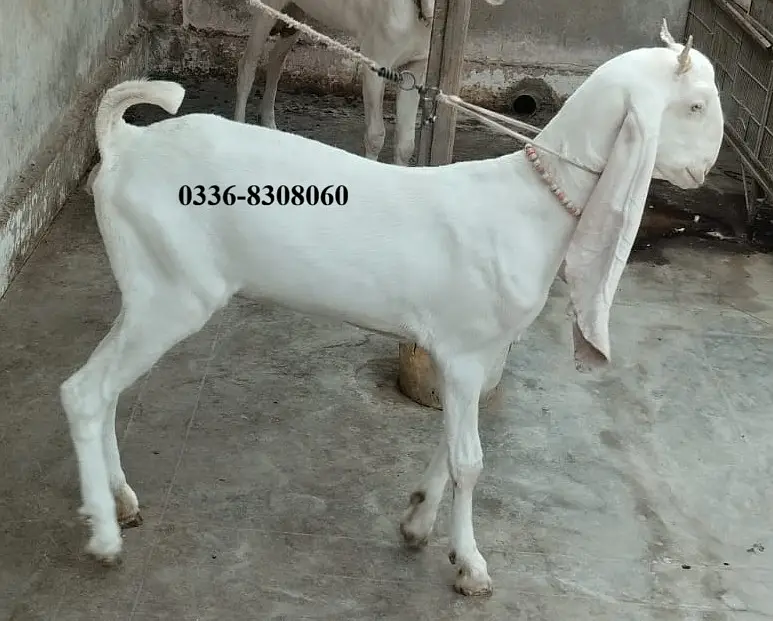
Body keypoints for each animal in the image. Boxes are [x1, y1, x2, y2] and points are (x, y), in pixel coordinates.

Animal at [61, 21, 723, 596]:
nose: (704, 170)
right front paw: (471, 566)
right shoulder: (463, 352)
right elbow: (470, 461)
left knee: (106, 387)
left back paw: (123, 501)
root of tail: (123, 143)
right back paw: (105, 536)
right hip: (174, 293)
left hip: (149, 285)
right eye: (693, 106)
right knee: (85, 391)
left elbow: (450, 447)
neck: (530, 204)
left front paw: (418, 523)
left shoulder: (474, 355)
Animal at [233, 0, 506, 166]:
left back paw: (269, 124)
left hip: (296, 13)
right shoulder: (376, 59)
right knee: (247, 66)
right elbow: (375, 134)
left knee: (276, 62)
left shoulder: (417, 67)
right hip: (266, 9)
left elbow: (406, 143)